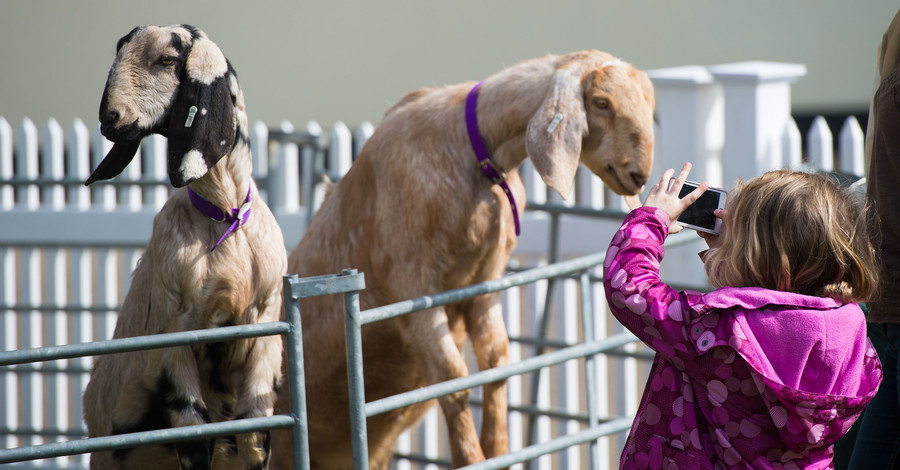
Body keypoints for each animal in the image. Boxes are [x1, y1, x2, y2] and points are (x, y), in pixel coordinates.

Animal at [81, 25, 286, 470]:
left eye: (167, 60)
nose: (110, 119)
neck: (224, 218)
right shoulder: (174, 337)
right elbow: (194, 436)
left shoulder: (265, 327)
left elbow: (255, 433)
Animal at [268, 49, 652, 468]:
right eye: (601, 103)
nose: (640, 174)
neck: (477, 159)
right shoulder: (413, 285)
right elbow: (453, 379)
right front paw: (473, 458)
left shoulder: (485, 280)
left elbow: (496, 362)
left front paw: (500, 451)